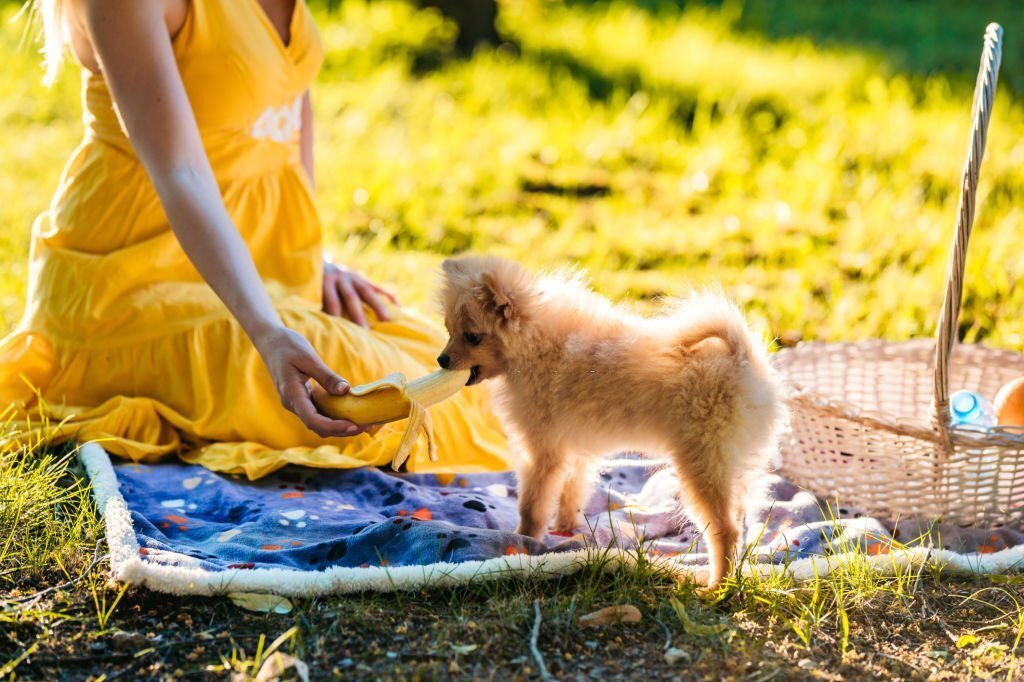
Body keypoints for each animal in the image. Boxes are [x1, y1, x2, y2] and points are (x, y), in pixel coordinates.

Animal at [438, 254, 782, 585]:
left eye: (472, 337)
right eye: (448, 330)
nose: (441, 359)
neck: (535, 343)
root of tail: (743, 360)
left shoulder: (543, 450)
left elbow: (533, 506)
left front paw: (524, 540)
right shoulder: (573, 448)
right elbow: (572, 492)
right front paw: (566, 528)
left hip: (703, 463)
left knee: (725, 529)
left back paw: (716, 585)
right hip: (731, 464)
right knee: (739, 519)